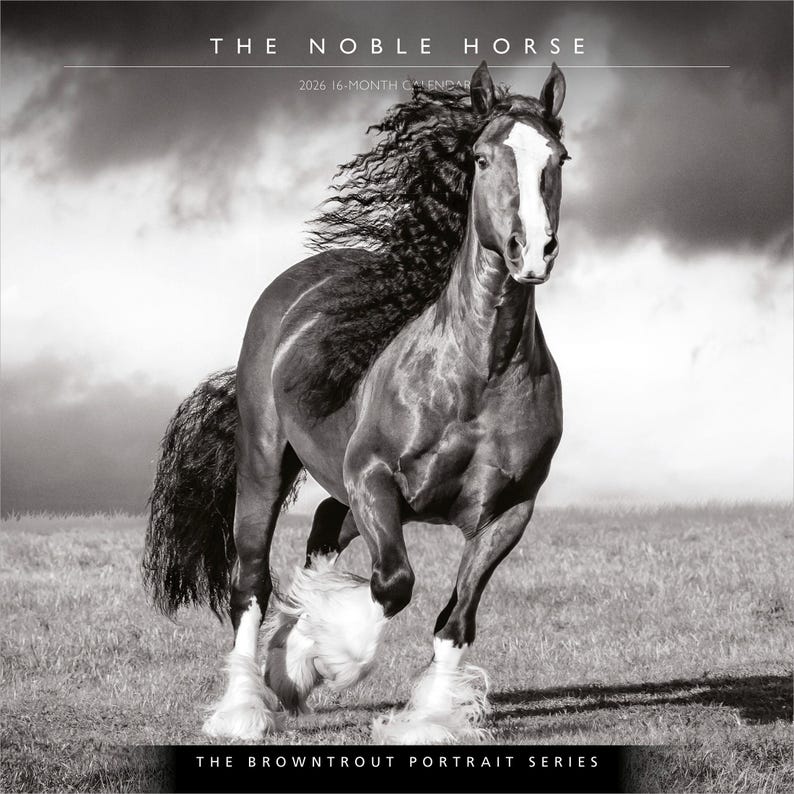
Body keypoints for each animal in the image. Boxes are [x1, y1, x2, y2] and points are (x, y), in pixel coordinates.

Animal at [143, 60, 569, 744]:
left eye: (559, 157)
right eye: (480, 158)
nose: (531, 250)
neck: (477, 375)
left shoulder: (509, 511)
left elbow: (456, 618)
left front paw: (427, 718)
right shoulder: (373, 477)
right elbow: (393, 584)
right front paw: (321, 658)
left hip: (343, 486)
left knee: (321, 528)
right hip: (266, 464)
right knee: (250, 582)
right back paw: (243, 706)